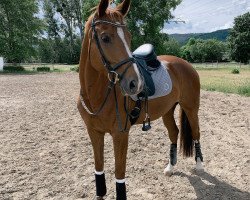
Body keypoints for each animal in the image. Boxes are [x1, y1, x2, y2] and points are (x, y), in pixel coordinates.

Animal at [77, 0, 203, 198]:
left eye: (129, 37)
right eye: (105, 38)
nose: (136, 83)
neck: (96, 97)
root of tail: (185, 64)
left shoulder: (120, 135)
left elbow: (119, 174)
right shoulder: (94, 132)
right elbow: (99, 169)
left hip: (191, 108)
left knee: (196, 133)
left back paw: (199, 166)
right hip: (168, 110)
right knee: (174, 133)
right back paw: (170, 168)